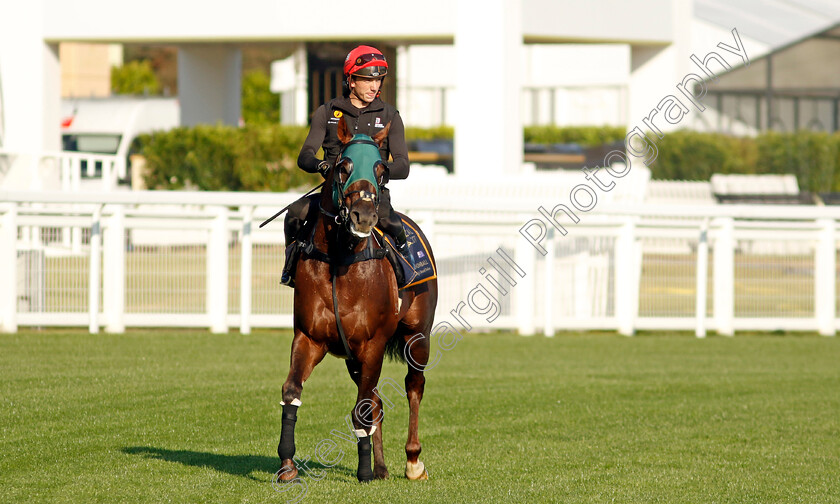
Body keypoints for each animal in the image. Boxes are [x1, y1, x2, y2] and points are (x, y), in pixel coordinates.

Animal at [278, 116, 440, 482]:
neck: (341, 263)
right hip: (355, 358)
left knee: (414, 386)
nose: (363, 217)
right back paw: (381, 466)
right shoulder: (309, 338)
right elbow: (292, 391)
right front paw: (287, 464)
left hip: (417, 337)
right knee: (376, 400)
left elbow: (362, 408)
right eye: (343, 166)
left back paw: (413, 461)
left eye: (381, 169)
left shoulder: (374, 343)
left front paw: (364, 469)